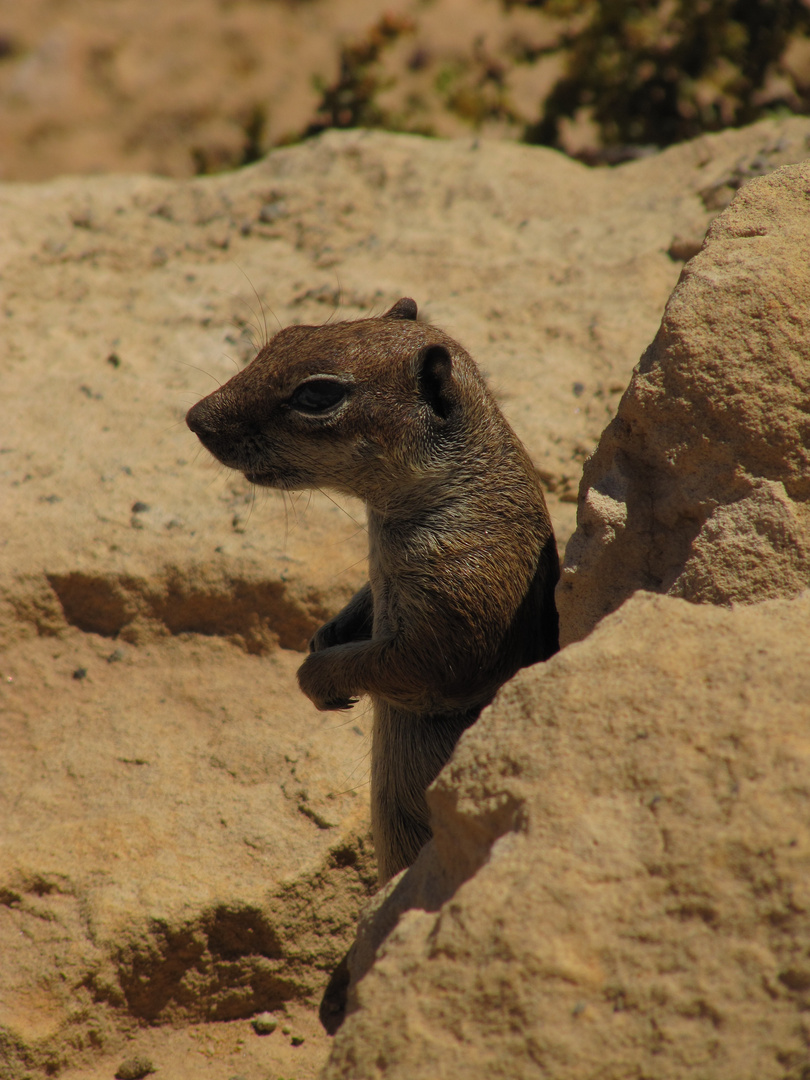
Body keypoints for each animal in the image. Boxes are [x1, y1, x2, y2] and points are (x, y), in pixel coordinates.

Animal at [186, 298, 561, 885]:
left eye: (317, 395)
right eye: (287, 336)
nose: (195, 418)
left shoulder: (460, 602)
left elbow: (412, 665)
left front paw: (317, 675)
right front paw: (328, 633)